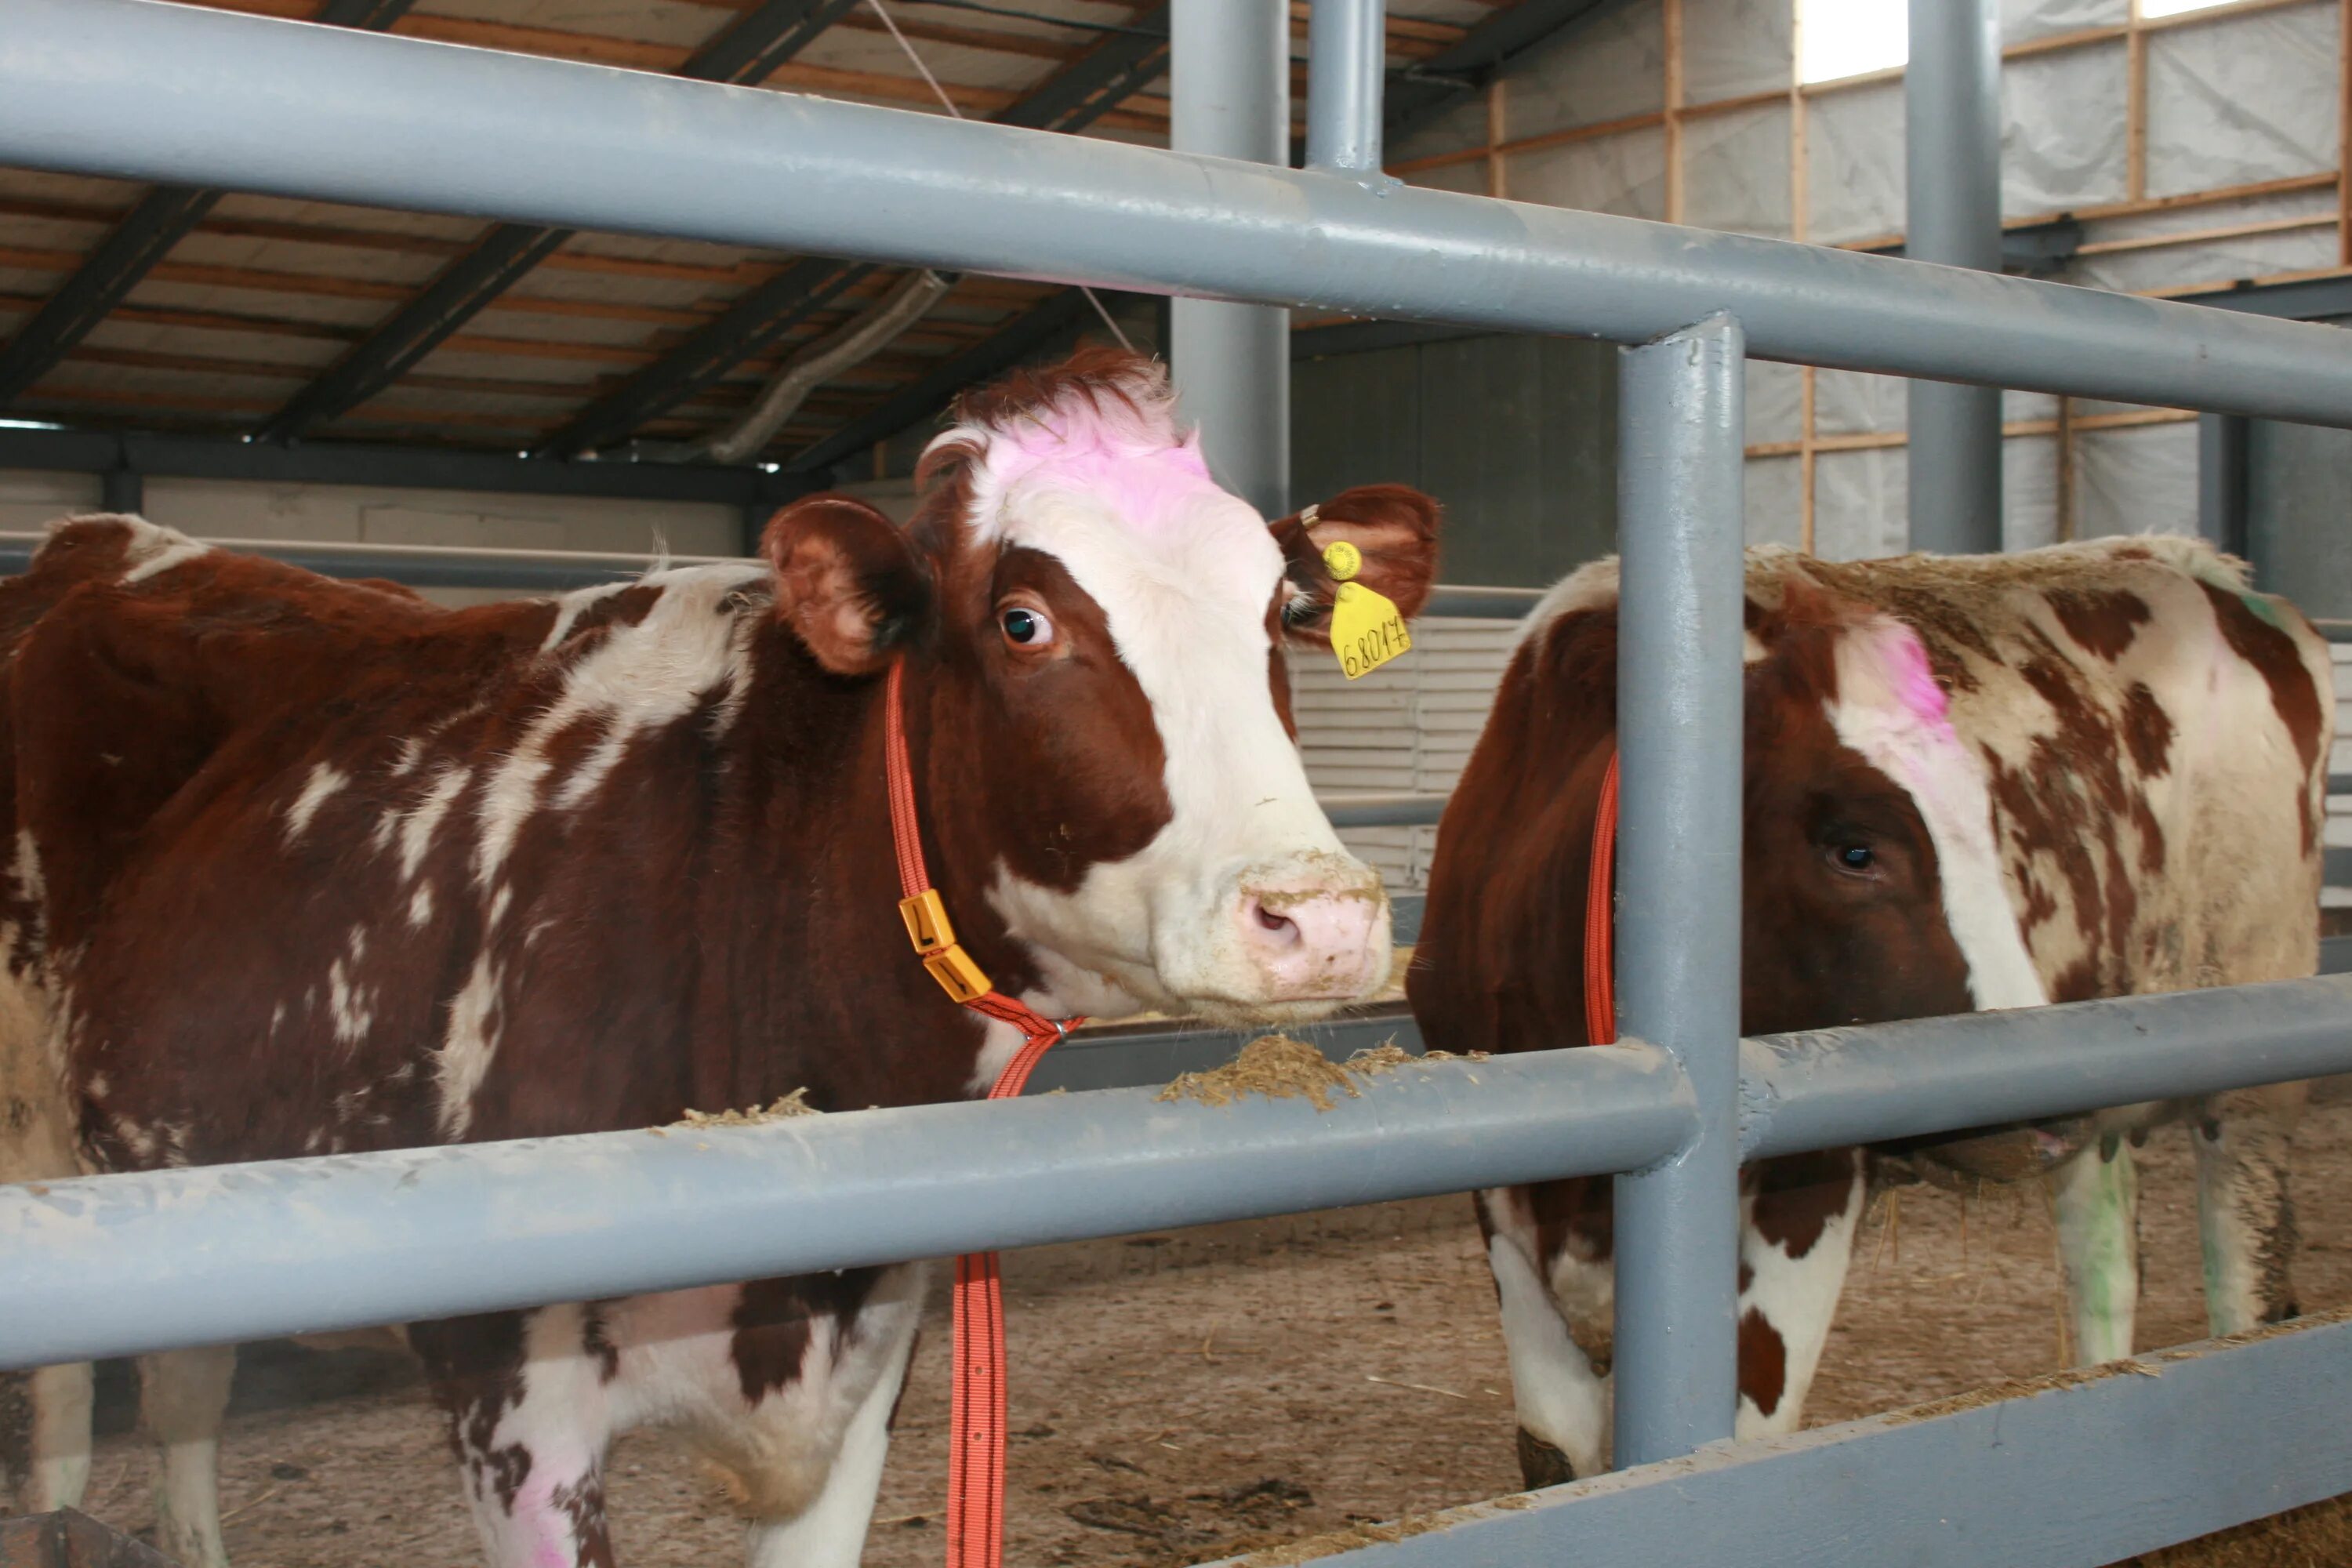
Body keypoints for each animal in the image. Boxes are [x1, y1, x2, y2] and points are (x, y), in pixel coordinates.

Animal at [0, 345, 1439, 1568]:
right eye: (1023, 621)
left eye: (1281, 607)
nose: (1317, 917)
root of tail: (108, 539)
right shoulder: (508, 1394)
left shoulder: (863, 1357)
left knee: (184, 1382)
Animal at [1411, 535, 2333, 1486]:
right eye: (1855, 850)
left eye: (1989, 822)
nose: (2043, 1103)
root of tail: (2212, 571)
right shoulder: (1504, 1192)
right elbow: (1554, 1451)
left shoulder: (1812, 1175)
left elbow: (1751, 1426)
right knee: (2105, 1258)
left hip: (2256, 1066)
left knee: (2244, 1271)